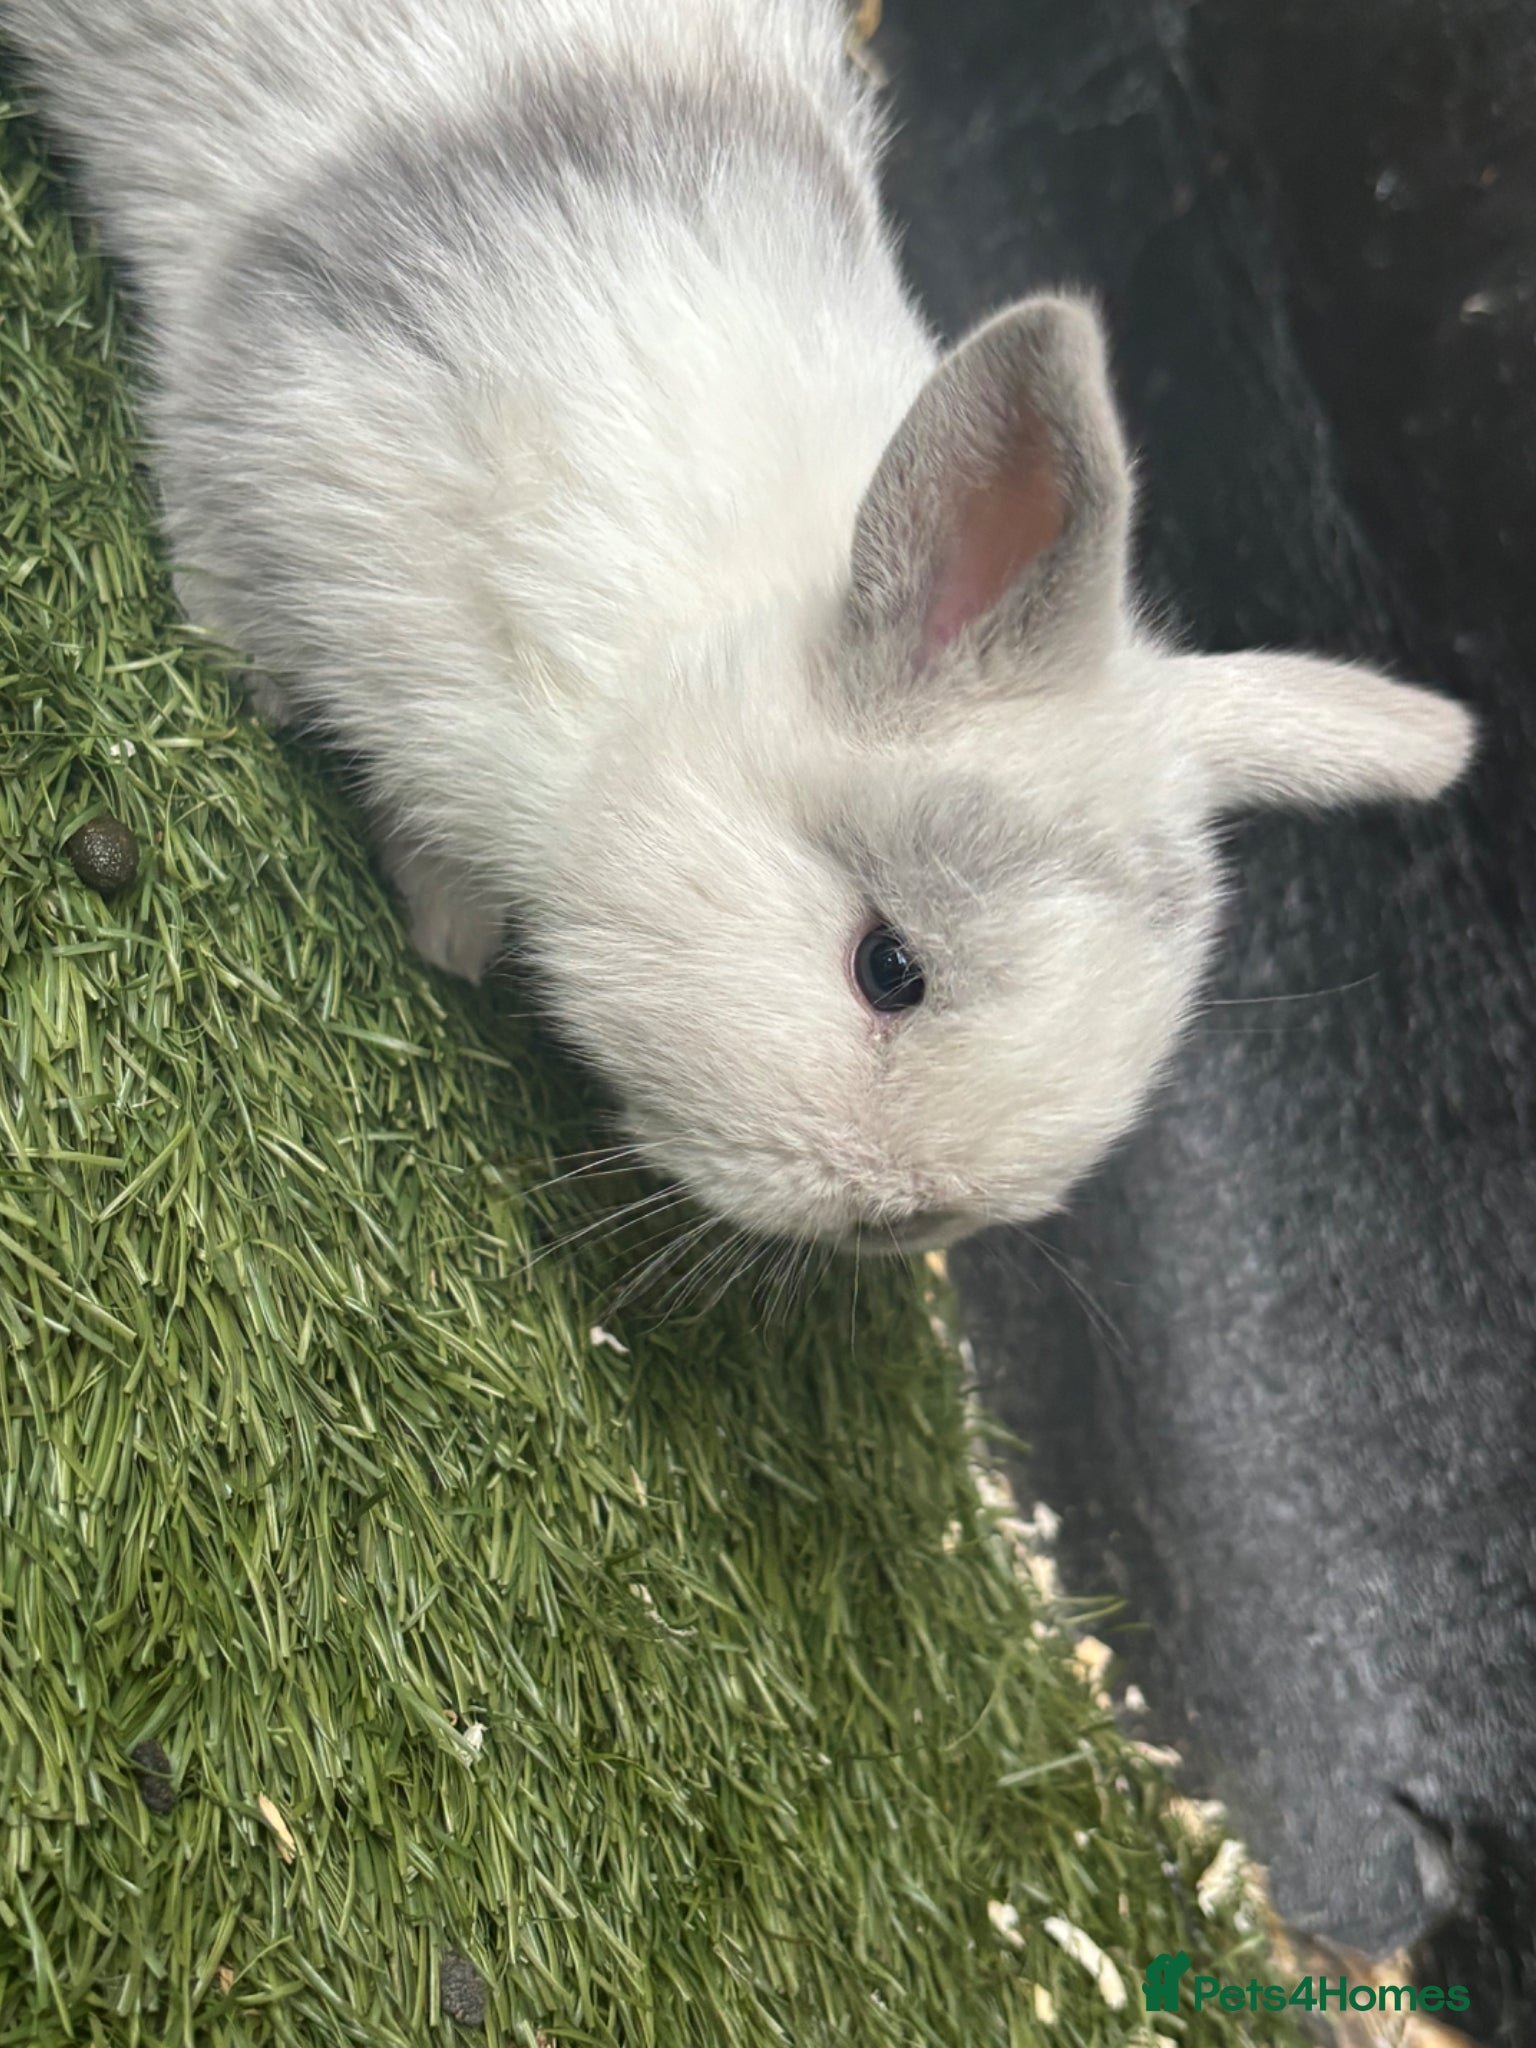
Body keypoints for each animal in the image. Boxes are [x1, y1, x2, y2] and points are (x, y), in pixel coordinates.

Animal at [1, 0, 1476, 1252]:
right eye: (889, 968)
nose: (901, 1219)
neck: (662, 683)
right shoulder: (288, 428)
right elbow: (232, 565)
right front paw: (448, 932)